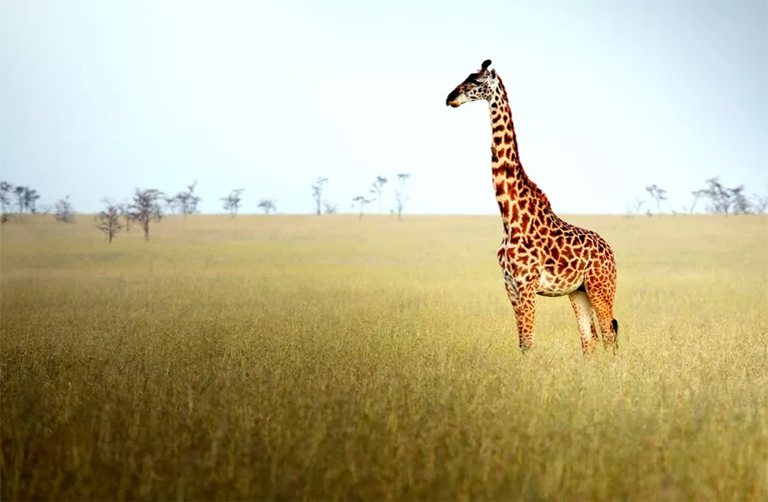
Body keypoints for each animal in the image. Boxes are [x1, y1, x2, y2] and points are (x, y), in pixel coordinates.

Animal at [444, 60, 616, 354]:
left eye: (476, 81)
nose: (450, 98)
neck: (510, 216)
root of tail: (612, 253)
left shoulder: (527, 284)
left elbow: (529, 342)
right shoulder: (510, 285)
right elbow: (522, 343)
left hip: (601, 286)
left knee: (609, 335)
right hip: (578, 291)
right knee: (590, 340)